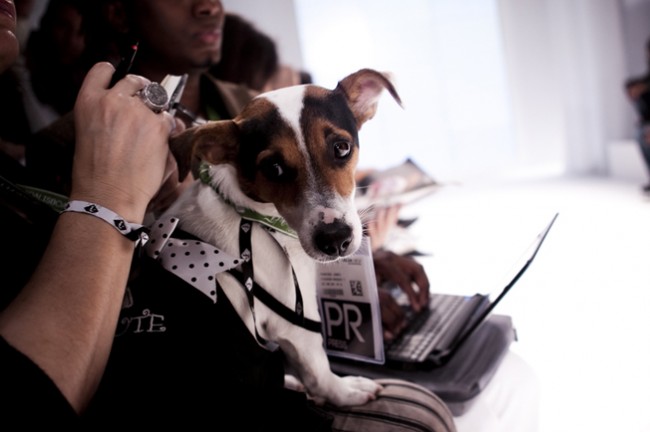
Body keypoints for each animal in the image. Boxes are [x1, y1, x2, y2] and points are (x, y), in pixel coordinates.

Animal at [163, 68, 401, 407]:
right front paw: (346, 391)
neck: (253, 219)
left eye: (341, 147)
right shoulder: (295, 324)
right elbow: (320, 373)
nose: (335, 240)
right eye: (273, 168)